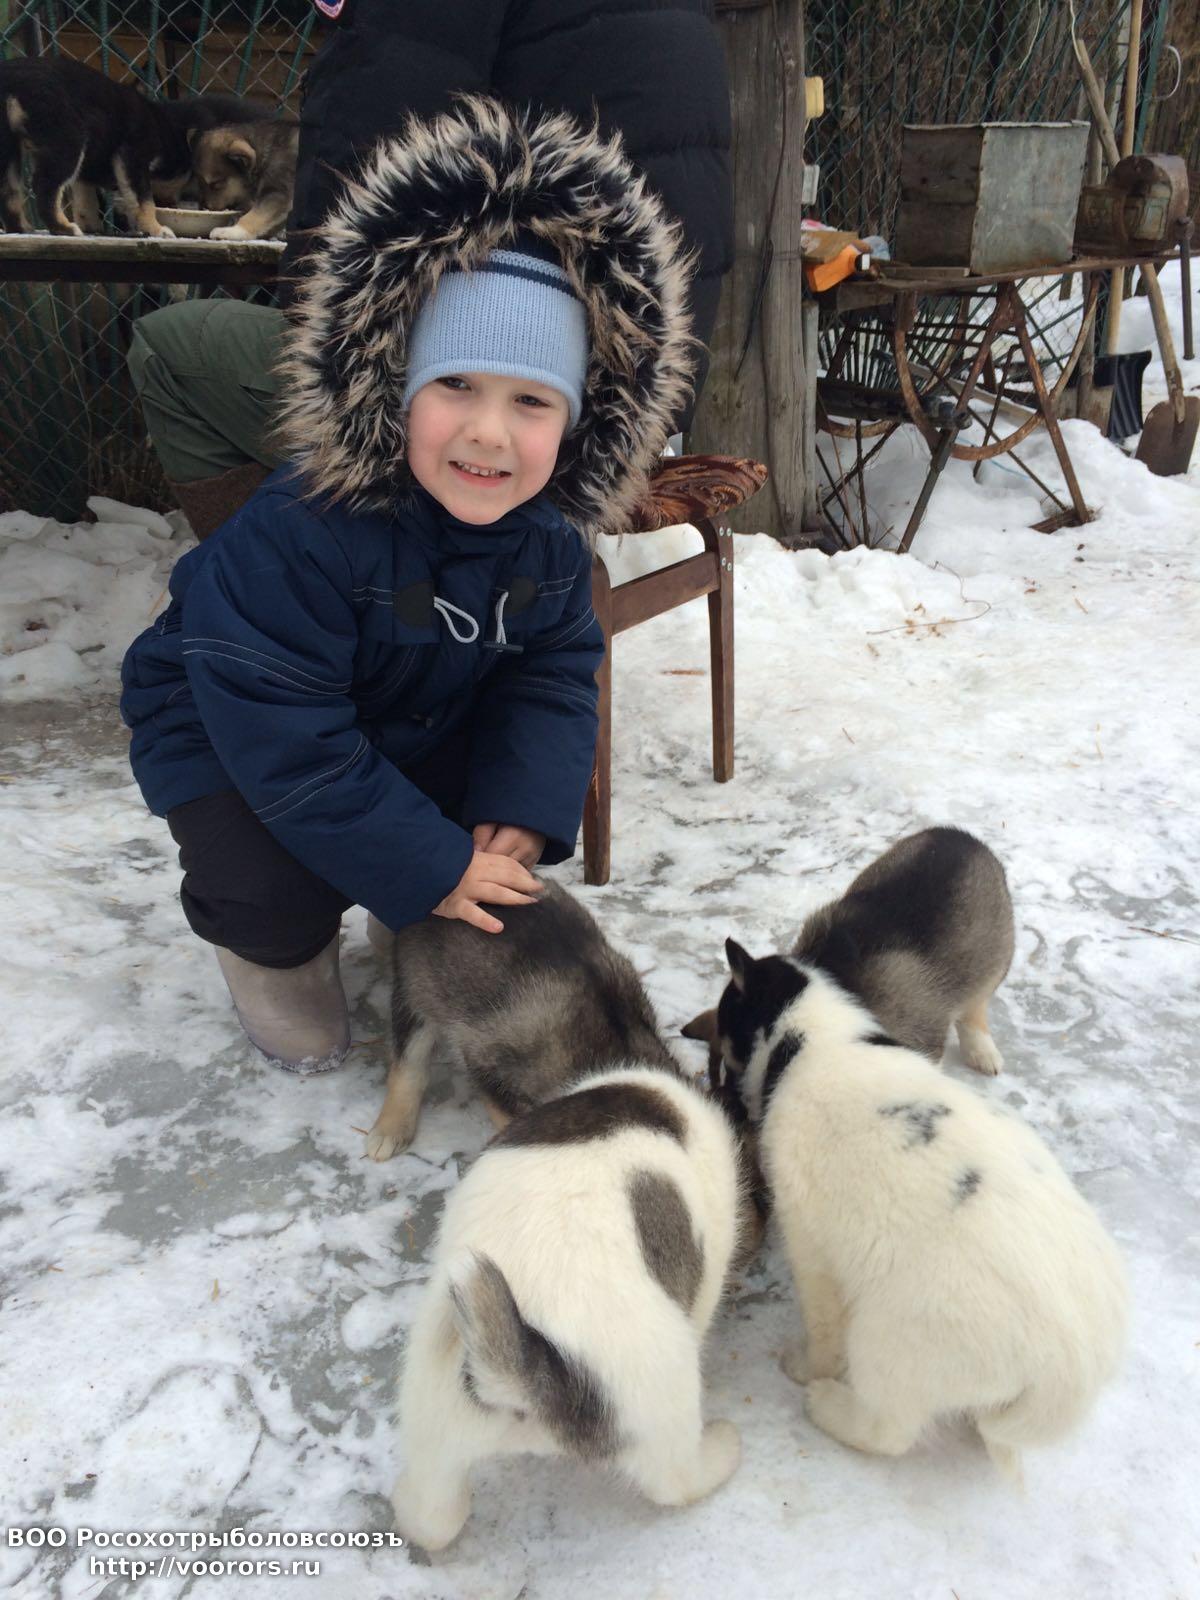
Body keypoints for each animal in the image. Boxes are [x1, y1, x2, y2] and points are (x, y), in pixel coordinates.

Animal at [0, 58, 265, 237]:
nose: (174, 205)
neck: (161, 128)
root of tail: (10, 77)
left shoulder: (91, 163)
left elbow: (85, 199)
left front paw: (92, 226)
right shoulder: (133, 156)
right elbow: (143, 201)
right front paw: (156, 229)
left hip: (10, 148)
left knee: (9, 192)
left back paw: (21, 228)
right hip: (67, 140)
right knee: (45, 188)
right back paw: (62, 228)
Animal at [392, 1061, 750, 1550]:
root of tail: (523, 1372)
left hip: (434, 1427)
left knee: (433, 1521)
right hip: (664, 1397)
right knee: (676, 1483)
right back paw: (722, 1450)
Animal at [715, 944, 1128, 1480]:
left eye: (723, 1016)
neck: (814, 1039)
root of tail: (1071, 1371)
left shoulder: (811, 1246)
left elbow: (823, 1326)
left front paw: (807, 1367)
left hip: (888, 1341)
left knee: (888, 1432)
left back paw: (825, 1404)